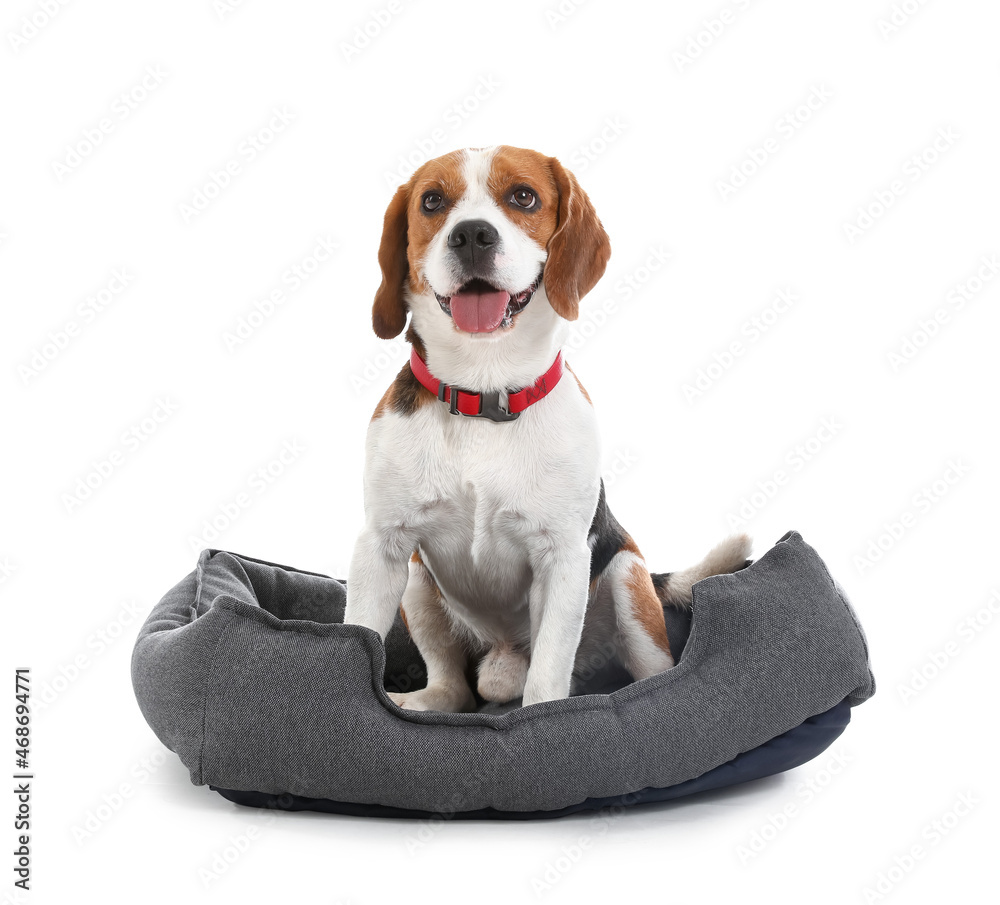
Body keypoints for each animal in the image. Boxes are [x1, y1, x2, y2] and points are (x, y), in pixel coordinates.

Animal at [344, 145, 752, 708]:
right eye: (431, 202)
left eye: (523, 196)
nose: (471, 235)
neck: (484, 391)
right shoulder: (382, 547)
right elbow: (358, 633)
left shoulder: (563, 558)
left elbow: (547, 678)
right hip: (417, 582)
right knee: (454, 689)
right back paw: (429, 699)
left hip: (627, 577)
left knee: (650, 668)